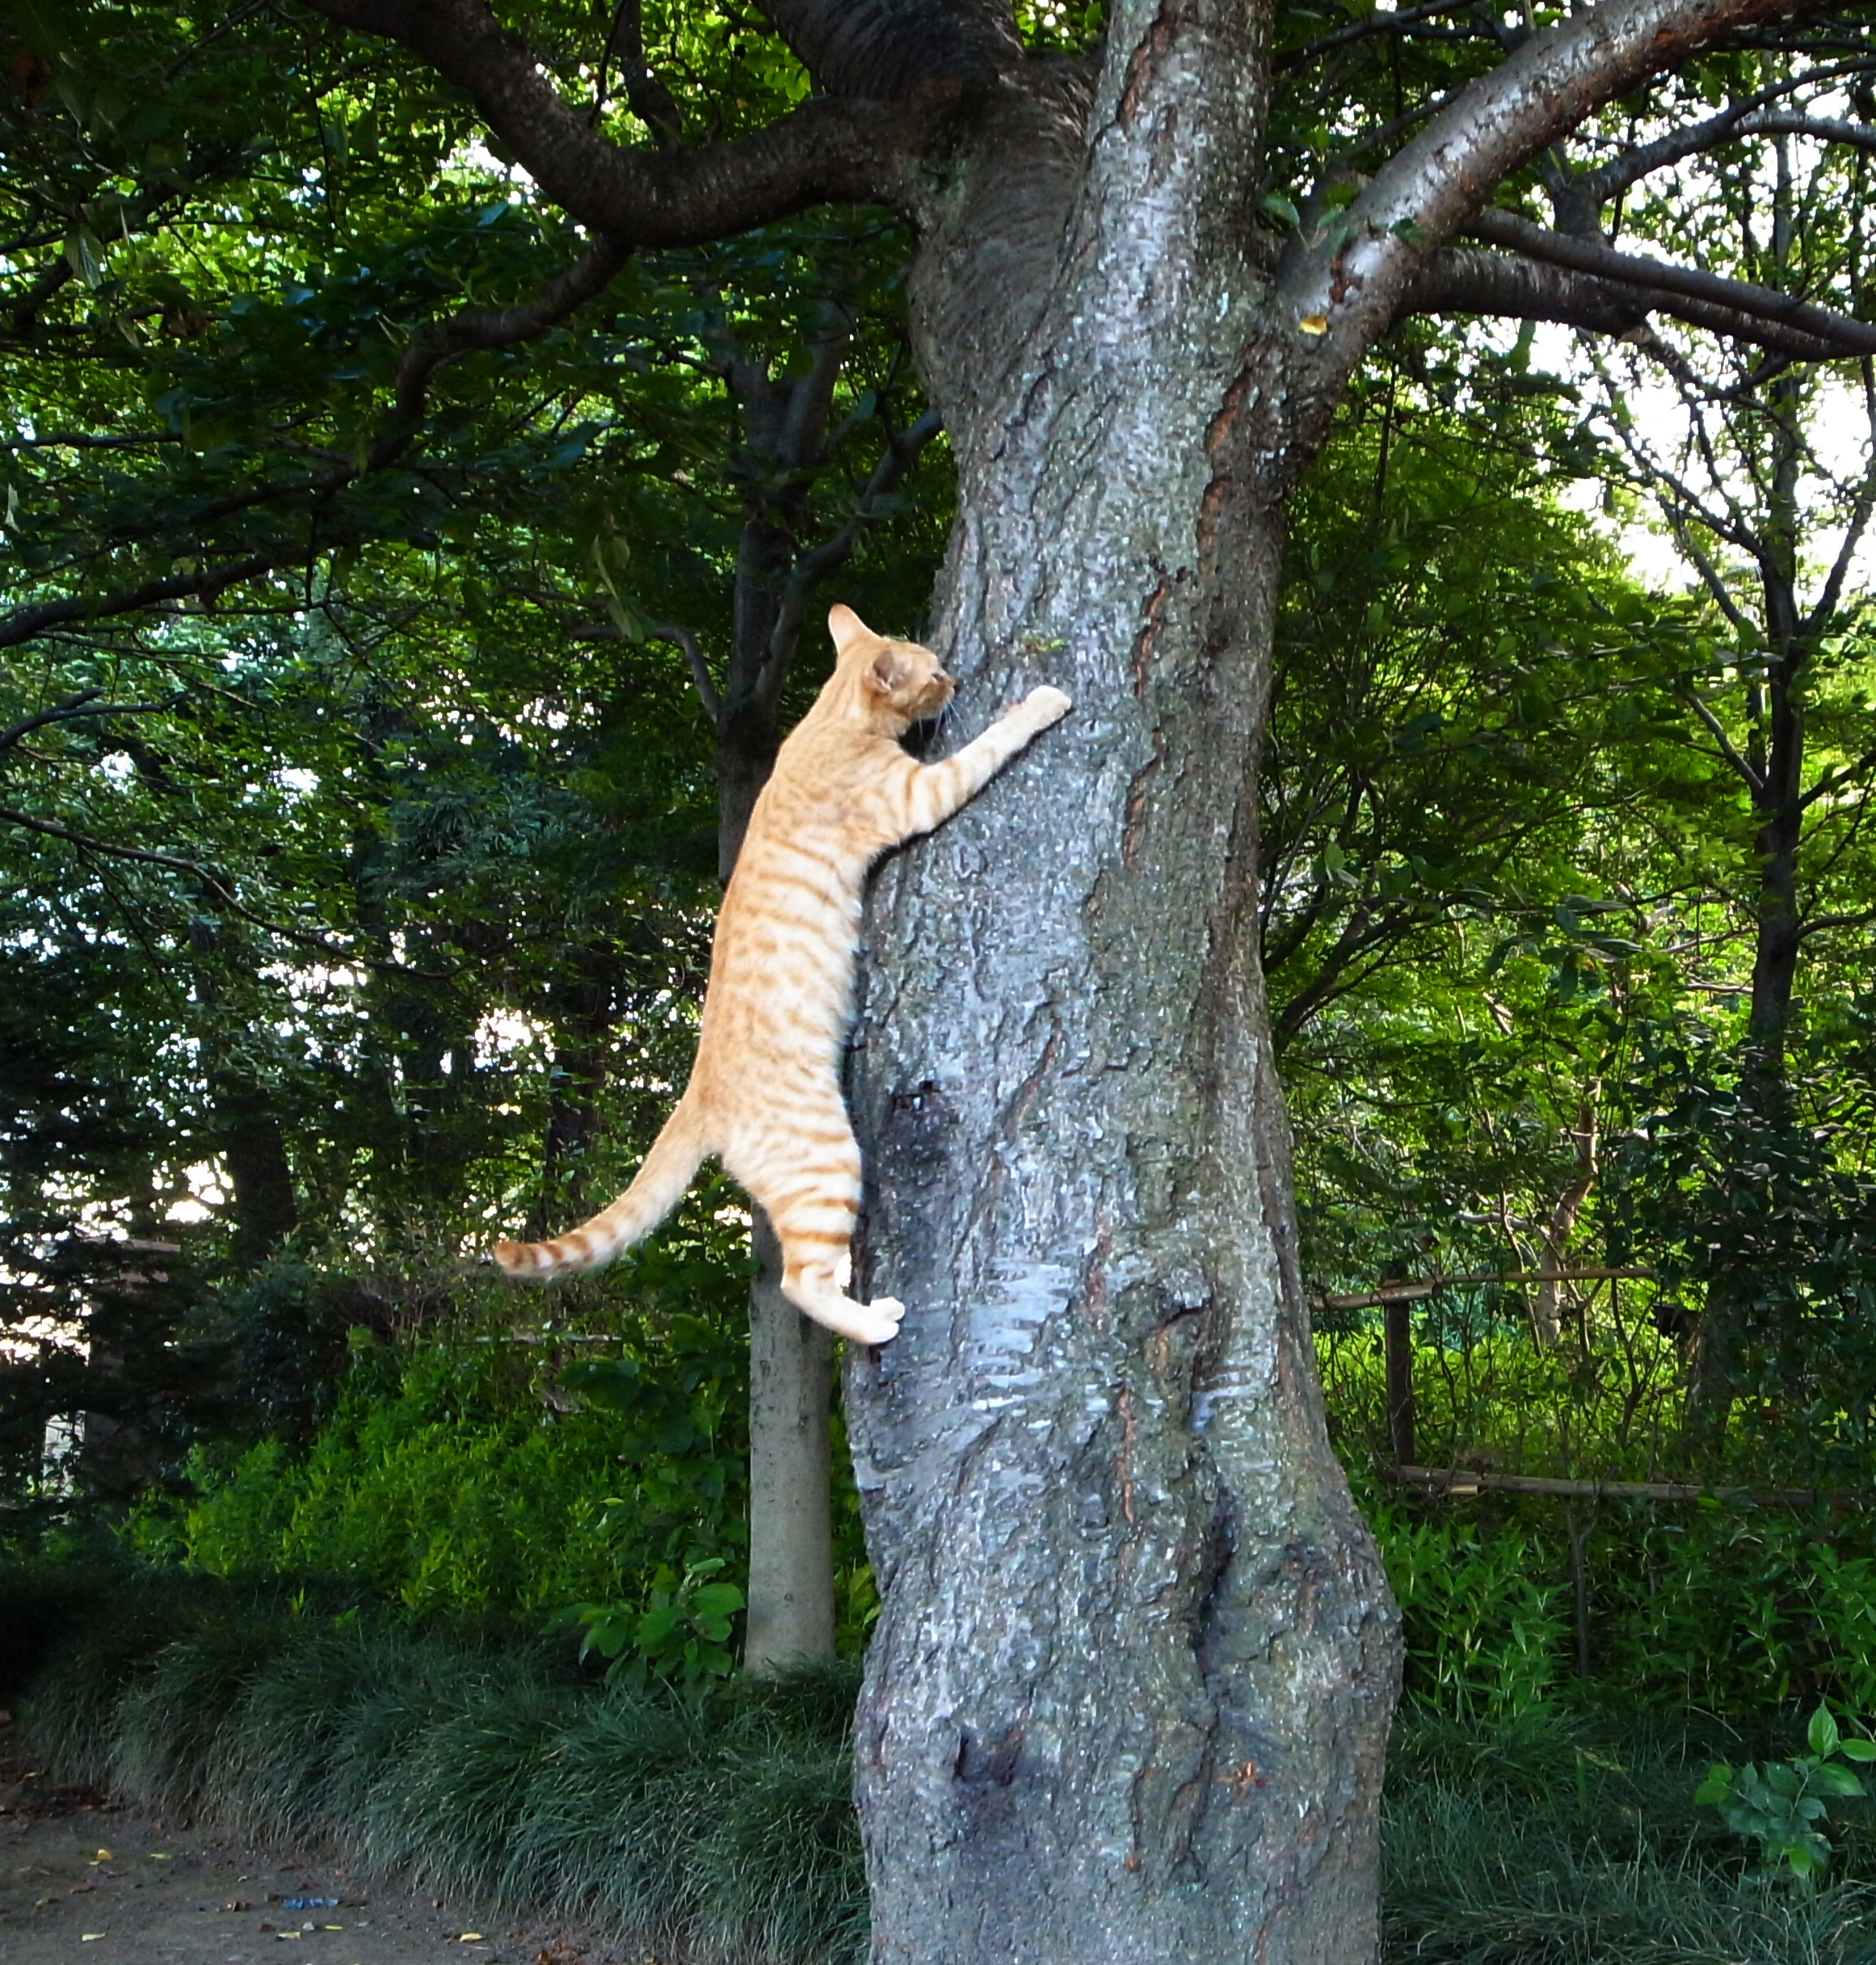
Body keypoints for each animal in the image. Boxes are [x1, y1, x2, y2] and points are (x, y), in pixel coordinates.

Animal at [490, 605, 1076, 1344]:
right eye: (934, 673)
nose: (954, 679)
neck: (827, 721)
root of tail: (698, 1091)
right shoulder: (920, 792)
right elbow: (991, 743)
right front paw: (1041, 703)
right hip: (827, 1159)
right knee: (802, 1281)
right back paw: (875, 1322)